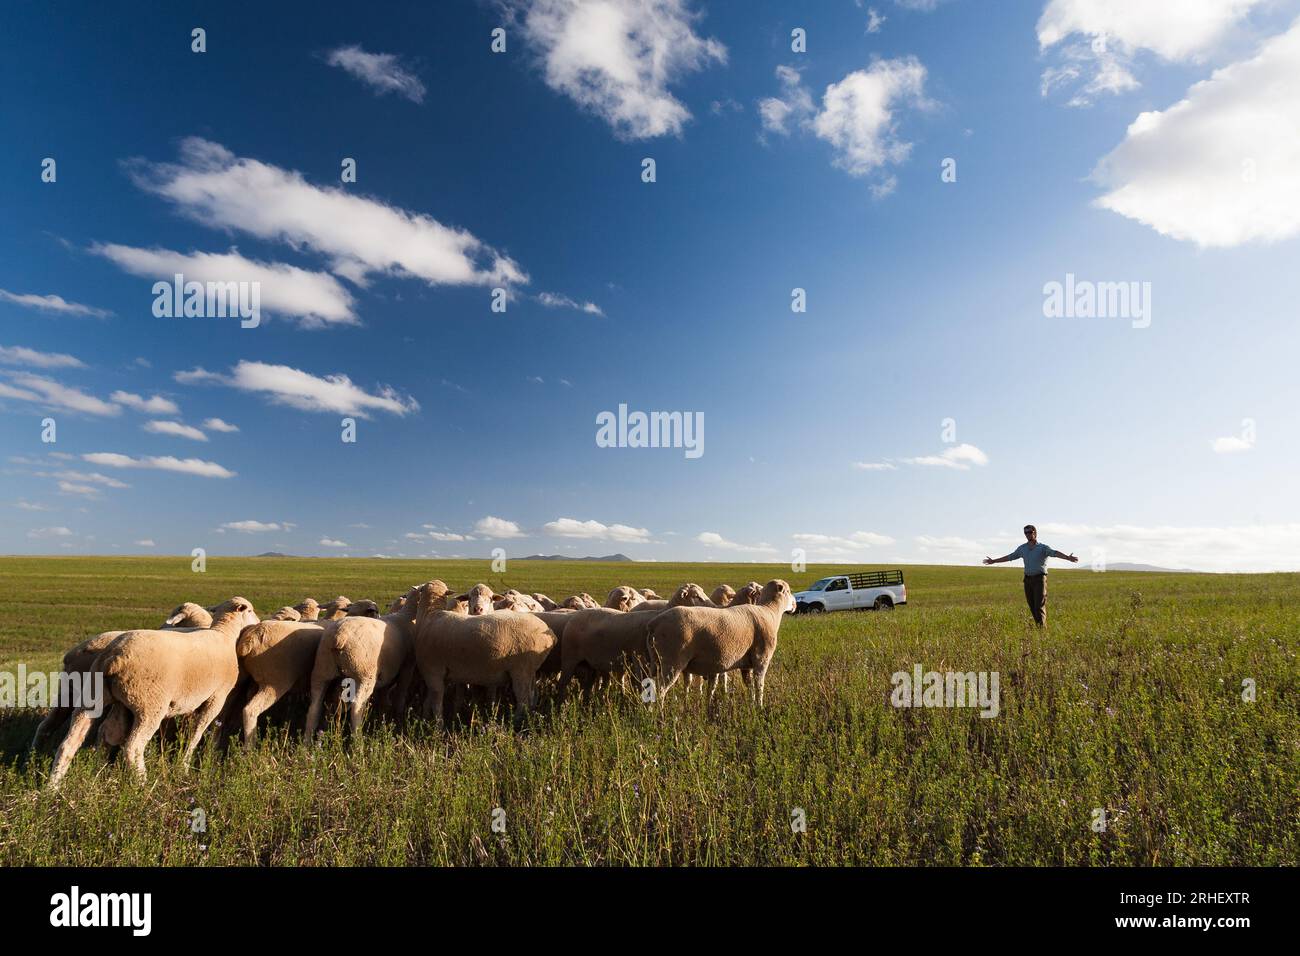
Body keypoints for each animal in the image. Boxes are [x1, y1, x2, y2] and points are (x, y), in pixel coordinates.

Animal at [302, 582, 426, 738]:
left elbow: (383, 698)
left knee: (314, 707)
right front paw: (398, 719)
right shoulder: (407, 667)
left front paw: (382, 717)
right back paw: (358, 739)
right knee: (356, 707)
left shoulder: (386, 673)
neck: (407, 615)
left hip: (322, 670)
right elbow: (400, 695)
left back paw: (308, 741)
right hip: (363, 675)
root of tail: (339, 636)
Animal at [413, 580, 556, 728]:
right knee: (532, 695)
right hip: (530, 670)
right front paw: (425, 718)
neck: (429, 615)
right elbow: (429, 700)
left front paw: (438, 726)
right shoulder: (442, 675)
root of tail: (550, 634)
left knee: (523, 700)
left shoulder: (433, 671)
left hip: (521, 670)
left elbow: (436, 700)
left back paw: (514, 723)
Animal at [644, 580, 795, 707]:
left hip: (656, 663)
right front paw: (759, 707)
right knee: (660, 690)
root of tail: (654, 624)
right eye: (788, 591)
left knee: (650, 686)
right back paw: (660, 714)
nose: (795, 604)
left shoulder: (746, 665)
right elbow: (759, 686)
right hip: (672, 662)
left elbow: (749, 685)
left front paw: (751, 705)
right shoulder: (761, 659)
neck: (769, 611)